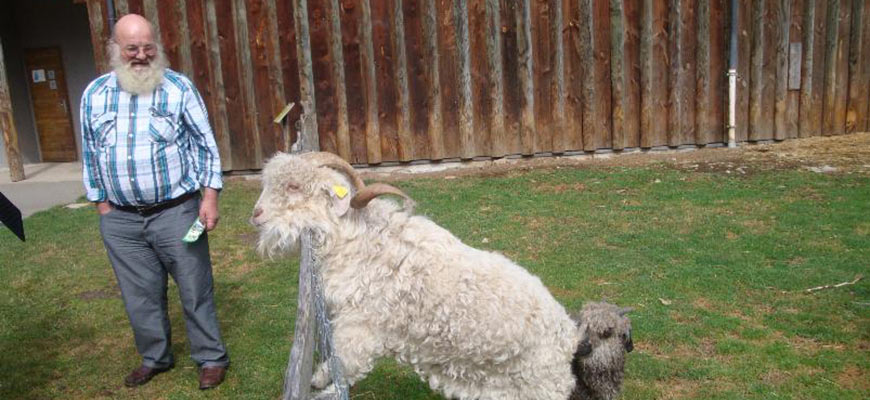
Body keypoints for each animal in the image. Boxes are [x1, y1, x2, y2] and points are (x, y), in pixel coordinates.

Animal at [254, 152, 592, 398]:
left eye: (294, 186)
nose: (256, 215)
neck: (364, 244)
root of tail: (568, 335)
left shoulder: (359, 328)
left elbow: (345, 363)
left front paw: (318, 381)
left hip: (541, 387)